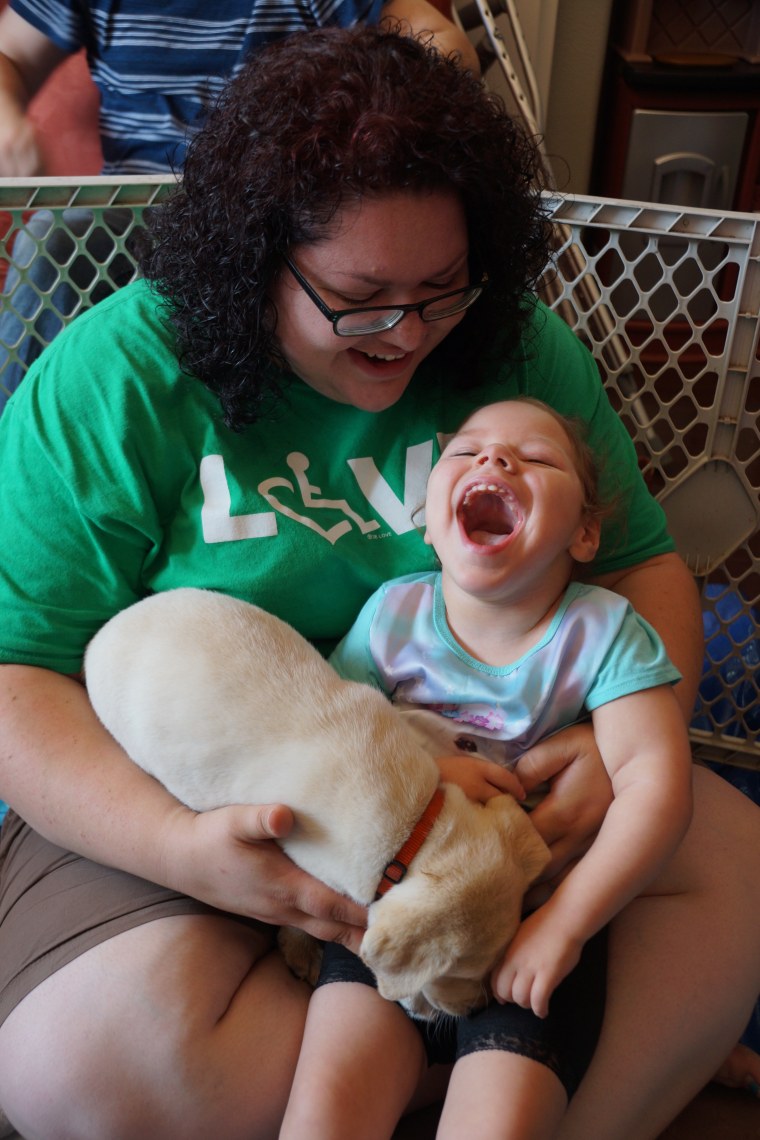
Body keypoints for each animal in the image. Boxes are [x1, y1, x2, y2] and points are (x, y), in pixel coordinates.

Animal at [86, 588, 549, 1016]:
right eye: (458, 973)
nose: (476, 1010)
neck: (415, 828)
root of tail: (103, 634)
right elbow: (296, 918)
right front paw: (302, 949)